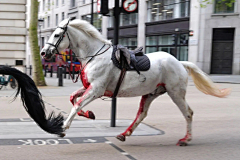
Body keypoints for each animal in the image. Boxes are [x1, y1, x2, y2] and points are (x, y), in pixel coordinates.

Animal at [40, 19, 230, 146]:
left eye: (57, 35)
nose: (43, 52)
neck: (95, 55)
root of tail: (179, 63)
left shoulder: (96, 89)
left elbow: (77, 104)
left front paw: (63, 128)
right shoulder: (90, 87)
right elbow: (73, 98)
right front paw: (89, 114)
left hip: (175, 93)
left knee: (188, 113)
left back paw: (186, 139)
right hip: (151, 93)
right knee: (142, 114)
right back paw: (124, 134)